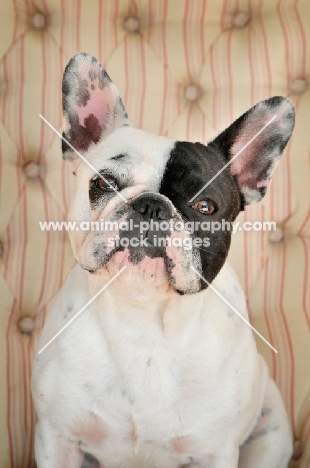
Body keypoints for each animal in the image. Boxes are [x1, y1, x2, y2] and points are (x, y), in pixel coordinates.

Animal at [31, 53, 296, 466]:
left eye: (205, 206)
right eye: (104, 184)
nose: (152, 206)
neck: (144, 319)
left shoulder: (215, 452)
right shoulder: (56, 439)